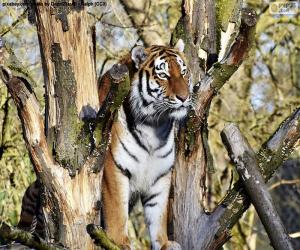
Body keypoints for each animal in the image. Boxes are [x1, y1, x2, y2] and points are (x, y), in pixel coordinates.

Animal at [102, 39, 192, 250]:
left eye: (184, 72)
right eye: (163, 75)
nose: (184, 98)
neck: (154, 126)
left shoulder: (161, 174)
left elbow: (158, 213)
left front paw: (165, 244)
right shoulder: (114, 167)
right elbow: (116, 210)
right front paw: (119, 243)